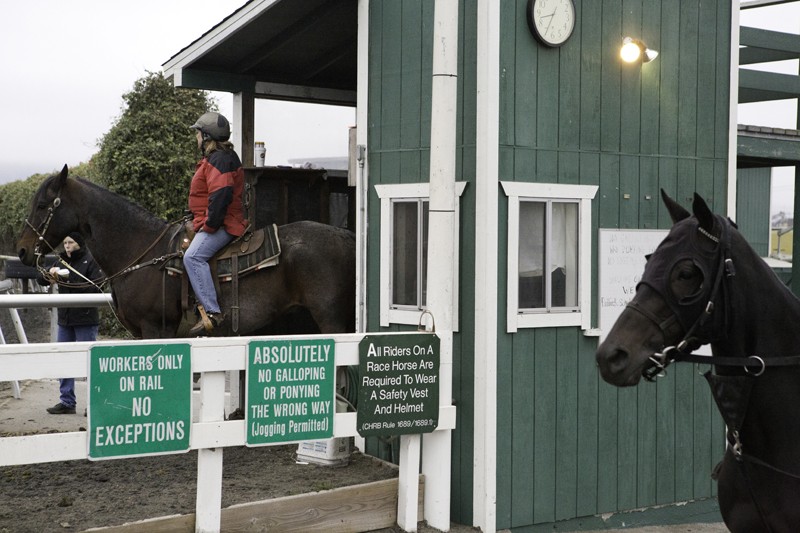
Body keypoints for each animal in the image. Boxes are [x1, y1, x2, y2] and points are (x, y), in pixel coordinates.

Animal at [14, 165, 354, 336]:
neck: (141, 250)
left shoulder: (155, 328)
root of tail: (345, 235)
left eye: (43, 205)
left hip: (331, 319)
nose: (21, 251)